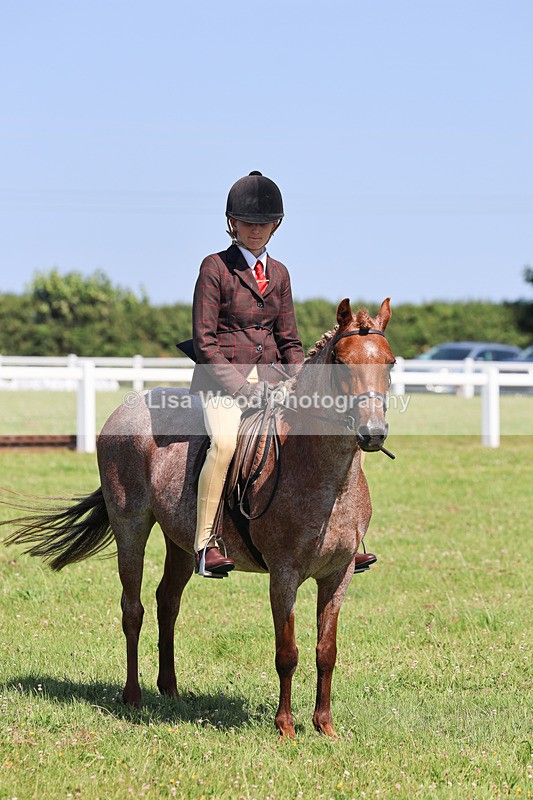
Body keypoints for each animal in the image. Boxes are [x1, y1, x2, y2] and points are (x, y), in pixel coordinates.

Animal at [2, 297, 395, 738]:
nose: (373, 432)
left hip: (180, 541)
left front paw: (325, 726)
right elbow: (287, 652)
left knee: (167, 602)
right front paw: (286, 727)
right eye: (341, 363)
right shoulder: (284, 574)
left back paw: (170, 690)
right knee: (133, 609)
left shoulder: (338, 574)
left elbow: (326, 650)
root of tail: (127, 407)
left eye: (391, 363)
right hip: (130, 527)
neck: (323, 474)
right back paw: (133, 696)